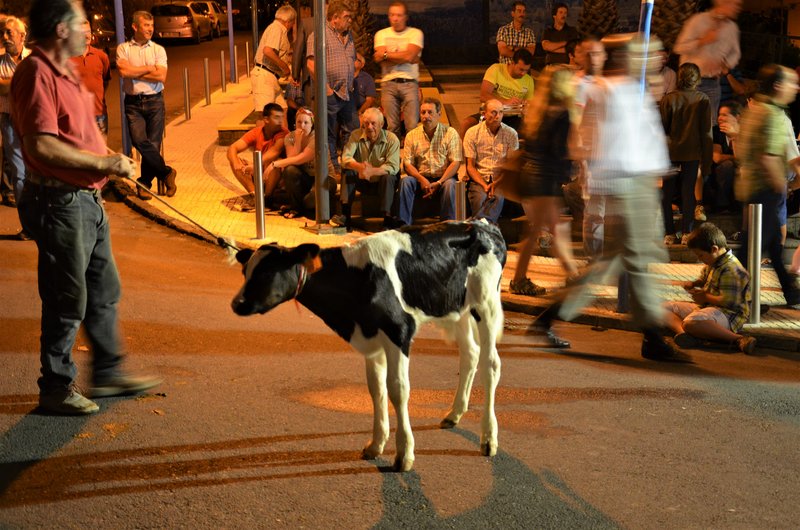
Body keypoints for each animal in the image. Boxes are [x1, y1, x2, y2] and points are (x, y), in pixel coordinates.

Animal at [231, 219, 506, 470]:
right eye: (245, 272)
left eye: (266, 272)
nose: (236, 304)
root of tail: (482, 224)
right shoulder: (370, 337)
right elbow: (376, 389)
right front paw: (375, 445)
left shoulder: (399, 331)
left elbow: (398, 390)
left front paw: (404, 454)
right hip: (457, 309)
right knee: (470, 353)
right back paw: (454, 414)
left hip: (486, 304)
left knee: (491, 364)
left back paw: (489, 438)